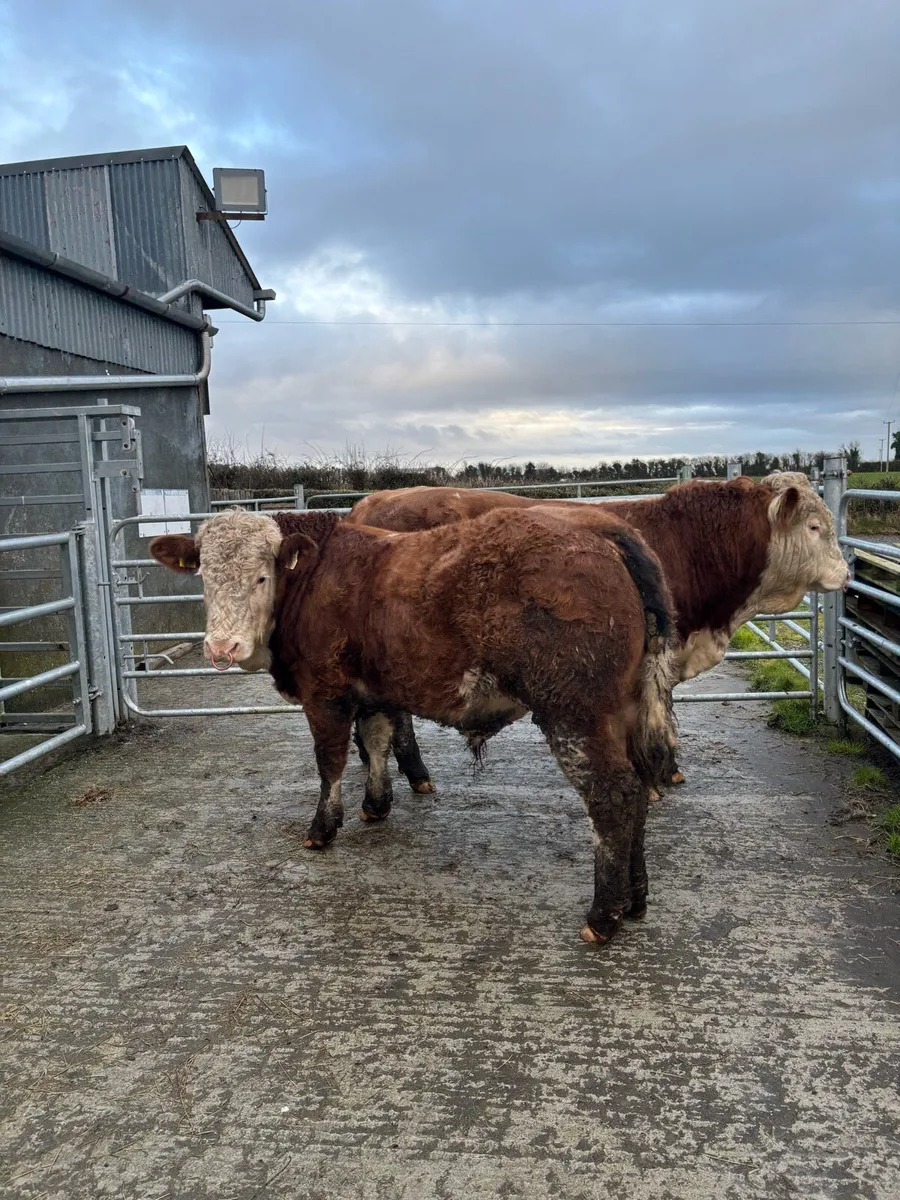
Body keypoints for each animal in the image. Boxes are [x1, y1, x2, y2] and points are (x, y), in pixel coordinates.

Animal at [150, 506, 678, 944]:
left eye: (263, 577)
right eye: (204, 576)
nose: (222, 648)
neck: (316, 578)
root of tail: (602, 532)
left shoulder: (325, 695)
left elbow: (330, 762)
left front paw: (323, 827)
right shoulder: (376, 693)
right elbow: (378, 742)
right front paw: (376, 804)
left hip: (575, 712)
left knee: (613, 795)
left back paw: (603, 916)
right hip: (623, 711)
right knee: (637, 790)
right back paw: (635, 898)